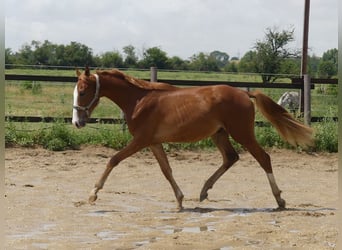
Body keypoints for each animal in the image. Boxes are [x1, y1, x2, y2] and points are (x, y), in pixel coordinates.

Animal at [73, 67, 314, 210]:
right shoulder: (153, 142)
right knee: (231, 158)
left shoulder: (140, 141)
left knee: (263, 158)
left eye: (83, 92)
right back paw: (204, 191)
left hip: (242, 133)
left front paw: (93, 194)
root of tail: (245, 93)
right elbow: (166, 170)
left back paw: (279, 200)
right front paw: (180, 200)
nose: (77, 122)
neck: (139, 100)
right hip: (220, 134)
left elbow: (113, 159)